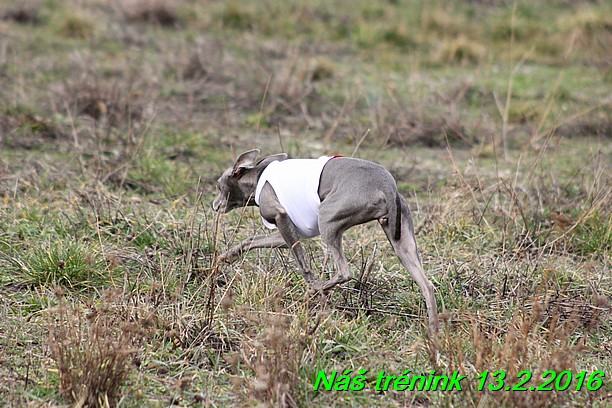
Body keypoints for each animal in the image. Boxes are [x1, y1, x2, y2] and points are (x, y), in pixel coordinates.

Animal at [212, 148, 440, 334]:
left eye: (219, 186)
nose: (214, 205)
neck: (258, 178)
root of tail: (388, 184)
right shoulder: (285, 232)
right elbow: (251, 240)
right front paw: (226, 257)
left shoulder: (281, 216)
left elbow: (303, 265)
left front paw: (313, 291)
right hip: (402, 241)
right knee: (427, 285)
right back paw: (433, 332)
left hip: (328, 219)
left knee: (344, 271)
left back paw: (317, 291)